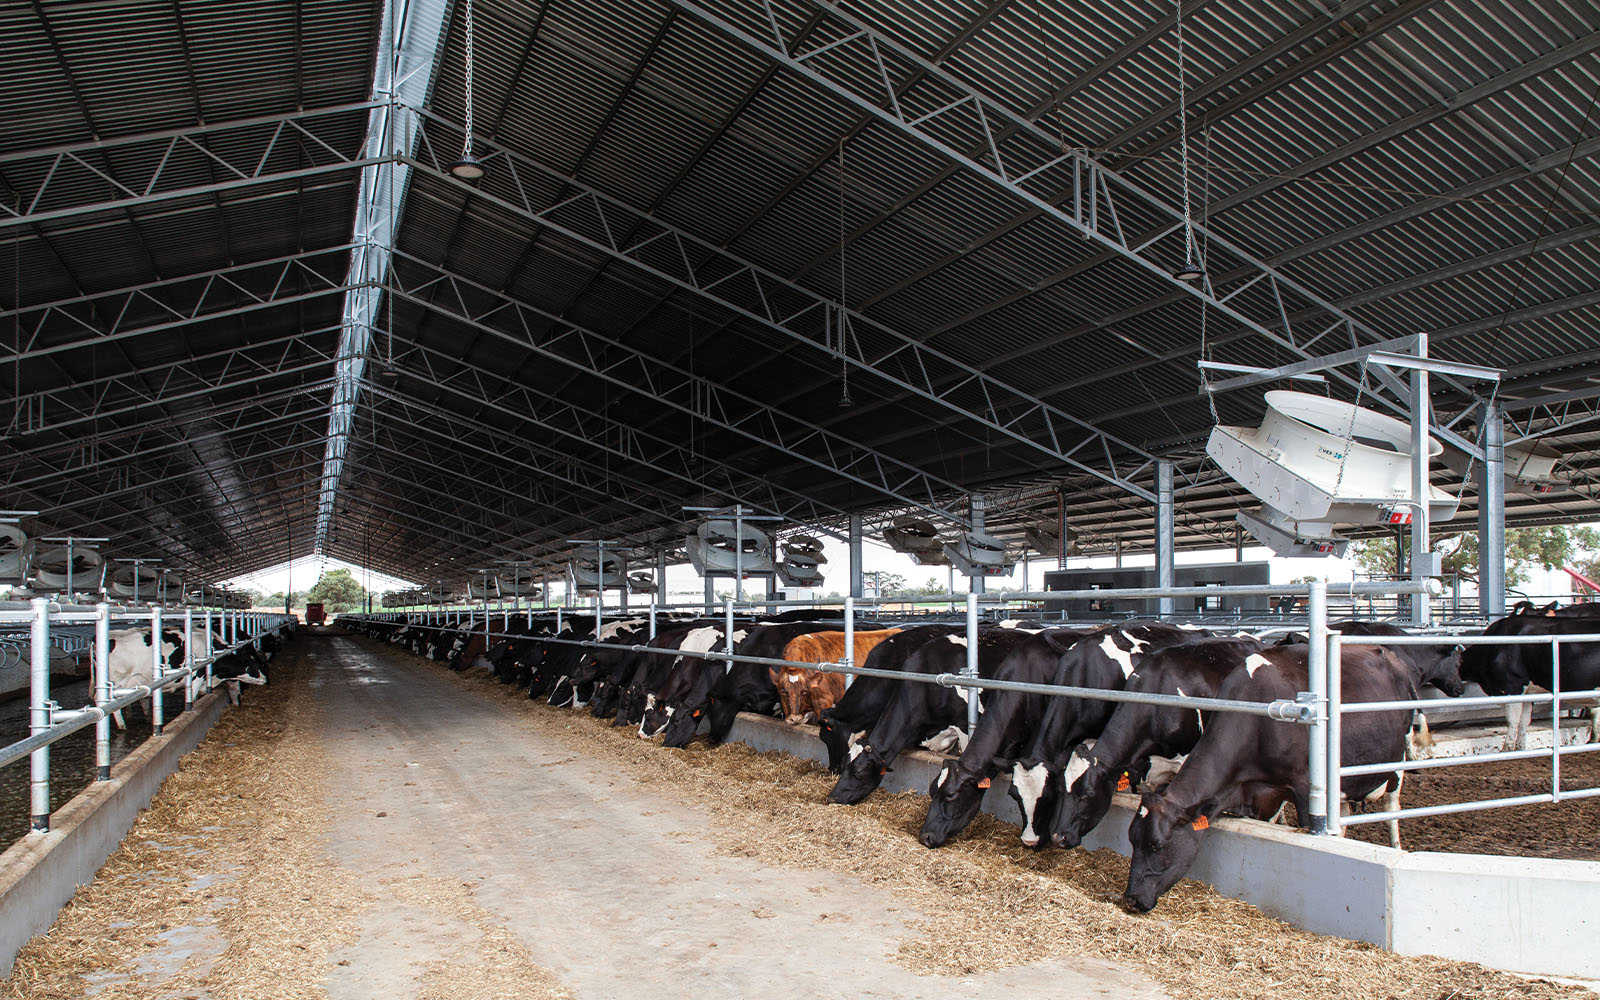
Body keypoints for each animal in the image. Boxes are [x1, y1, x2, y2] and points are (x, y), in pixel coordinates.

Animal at [1120, 640, 1408, 915]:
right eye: (1132, 839)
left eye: (1157, 846)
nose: (1131, 899)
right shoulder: (1253, 796)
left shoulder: (1302, 790)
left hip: (1398, 761)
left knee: (1392, 809)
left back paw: (1396, 847)